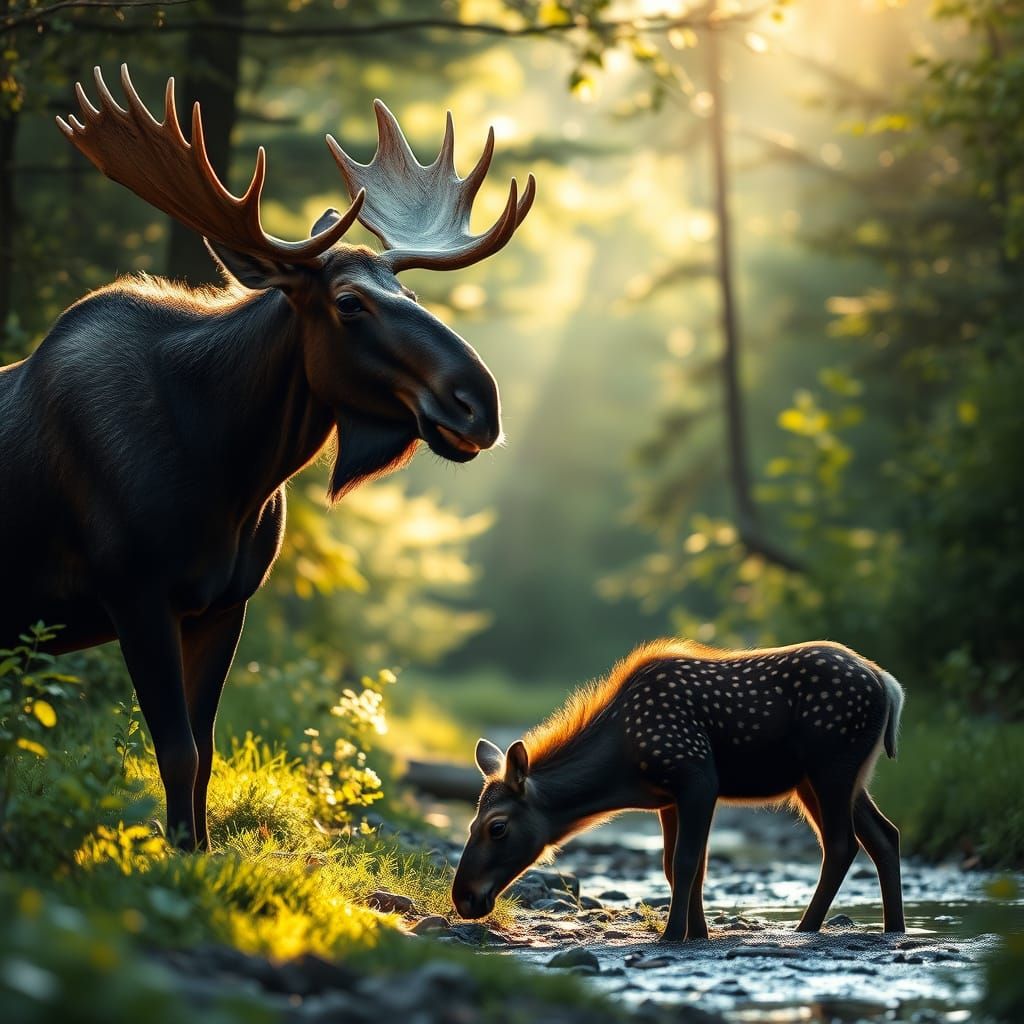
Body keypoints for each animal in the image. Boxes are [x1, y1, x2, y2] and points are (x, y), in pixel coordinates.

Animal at [0, 65, 535, 851]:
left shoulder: (226, 602)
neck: (230, 470)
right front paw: (177, 852)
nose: (480, 403)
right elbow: (175, 748)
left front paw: (197, 848)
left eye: (408, 291)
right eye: (349, 302)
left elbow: (204, 750)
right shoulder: (133, 589)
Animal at [452, 639, 906, 941]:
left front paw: (672, 935)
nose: (463, 898)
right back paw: (894, 928)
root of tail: (889, 684)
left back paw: (807, 927)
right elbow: (679, 867)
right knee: (885, 835)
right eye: (470, 822)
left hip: (830, 765)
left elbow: (686, 862)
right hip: (829, 778)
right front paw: (698, 933)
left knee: (842, 843)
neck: (623, 766)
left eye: (496, 826)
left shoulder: (698, 776)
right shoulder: (668, 799)